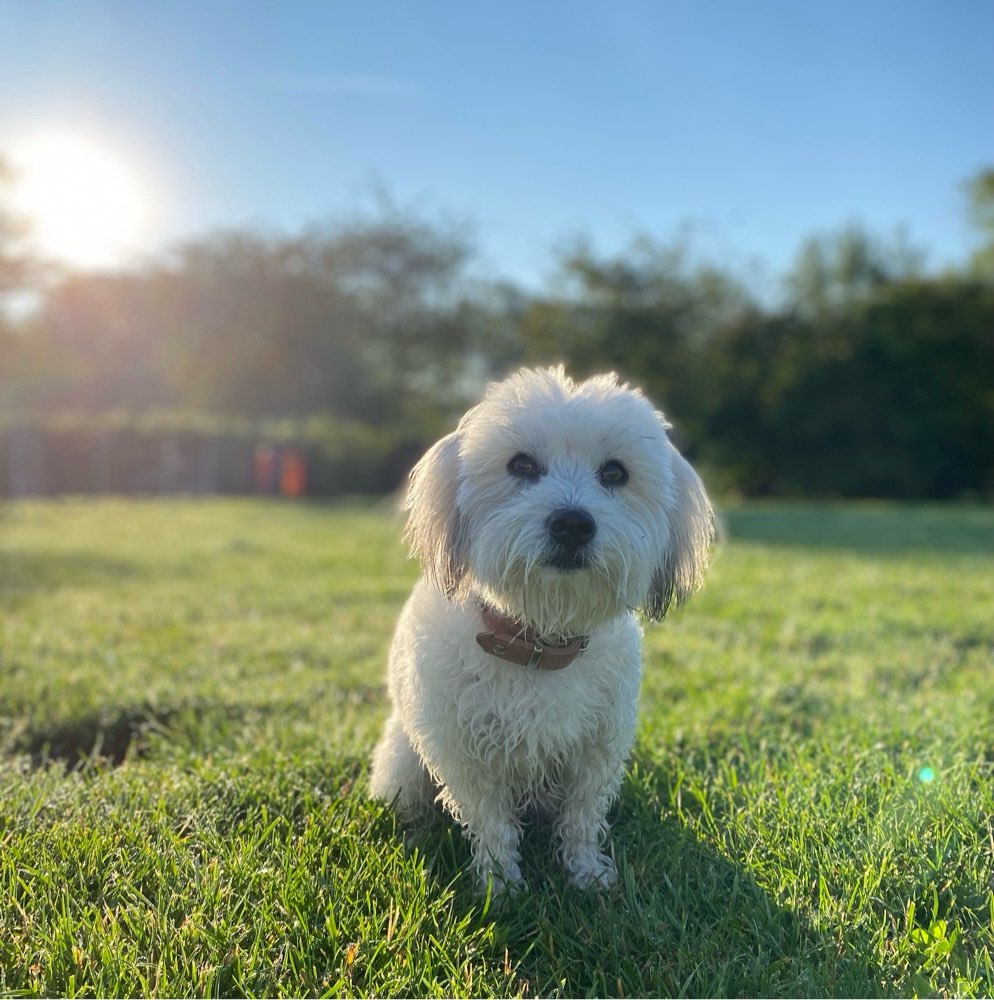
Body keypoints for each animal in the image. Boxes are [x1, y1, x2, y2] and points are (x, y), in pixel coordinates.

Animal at [368, 368, 708, 892]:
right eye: (521, 465)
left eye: (615, 473)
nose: (572, 524)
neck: (538, 642)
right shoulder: (467, 757)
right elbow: (490, 823)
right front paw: (500, 883)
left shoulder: (596, 748)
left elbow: (583, 816)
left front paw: (587, 871)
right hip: (405, 765)